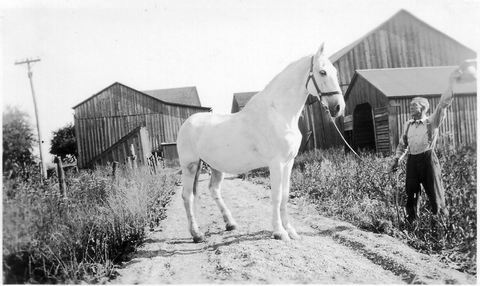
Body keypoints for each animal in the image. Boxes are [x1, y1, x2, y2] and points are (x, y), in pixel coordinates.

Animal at [176, 43, 344, 242]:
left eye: (335, 71)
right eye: (322, 72)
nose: (338, 107)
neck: (278, 114)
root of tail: (187, 124)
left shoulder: (288, 163)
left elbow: (285, 195)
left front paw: (291, 231)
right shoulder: (276, 163)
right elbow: (276, 196)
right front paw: (279, 232)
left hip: (215, 166)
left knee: (213, 190)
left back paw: (230, 223)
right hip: (190, 165)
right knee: (187, 196)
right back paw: (197, 234)